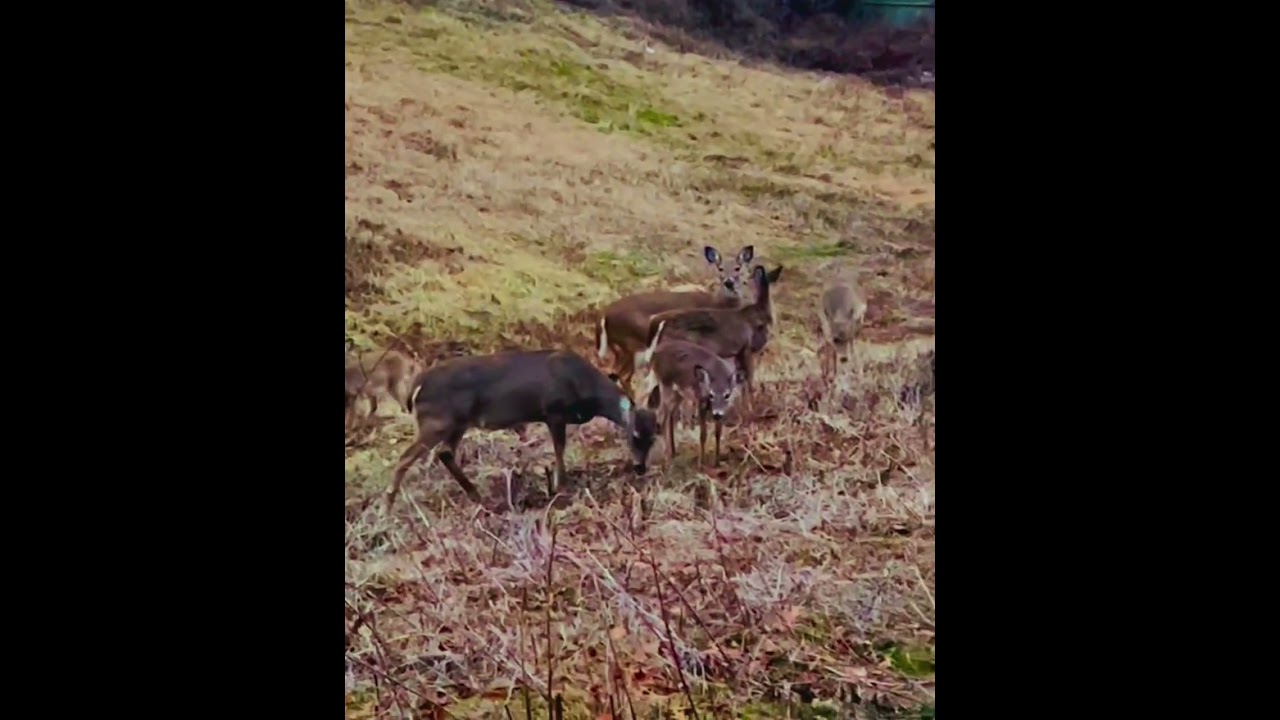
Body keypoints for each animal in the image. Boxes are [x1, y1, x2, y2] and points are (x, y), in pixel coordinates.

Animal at [386, 349, 659, 512]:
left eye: (654, 438)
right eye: (634, 435)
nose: (640, 468)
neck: (586, 390)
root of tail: (416, 387)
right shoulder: (553, 411)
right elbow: (559, 449)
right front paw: (560, 489)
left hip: (456, 423)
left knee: (444, 453)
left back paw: (477, 496)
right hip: (438, 421)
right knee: (404, 458)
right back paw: (388, 505)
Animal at [595, 245, 762, 395]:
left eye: (738, 268)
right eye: (720, 268)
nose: (729, 282)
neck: (719, 305)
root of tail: (604, 315)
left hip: (621, 349)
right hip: (634, 347)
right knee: (623, 376)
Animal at [641, 263, 782, 415]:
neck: (761, 313)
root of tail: (658, 322)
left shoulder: (737, 354)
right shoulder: (748, 349)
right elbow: (749, 382)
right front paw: (751, 408)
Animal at [642, 340, 744, 468]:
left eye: (727, 395)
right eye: (711, 394)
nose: (716, 414)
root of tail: (654, 352)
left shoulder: (722, 411)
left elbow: (718, 434)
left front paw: (717, 462)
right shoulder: (700, 402)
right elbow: (703, 435)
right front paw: (701, 463)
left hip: (678, 393)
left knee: (670, 415)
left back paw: (673, 452)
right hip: (664, 383)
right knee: (663, 416)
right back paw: (667, 456)